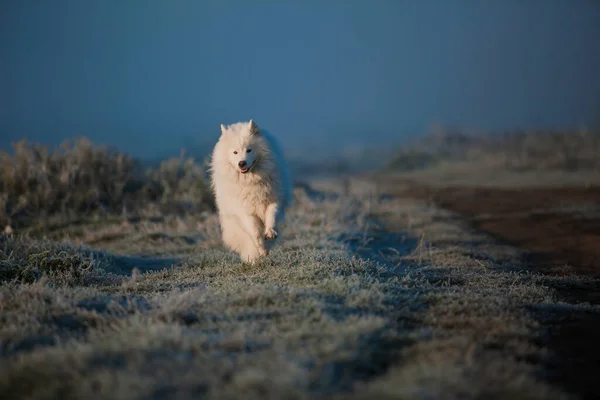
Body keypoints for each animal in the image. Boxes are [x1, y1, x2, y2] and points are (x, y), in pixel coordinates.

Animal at [211, 119, 292, 262]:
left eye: (249, 150)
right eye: (235, 152)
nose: (242, 163)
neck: (250, 182)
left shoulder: (275, 200)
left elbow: (271, 216)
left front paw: (270, 232)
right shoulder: (244, 210)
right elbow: (255, 232)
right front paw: (261, 248)